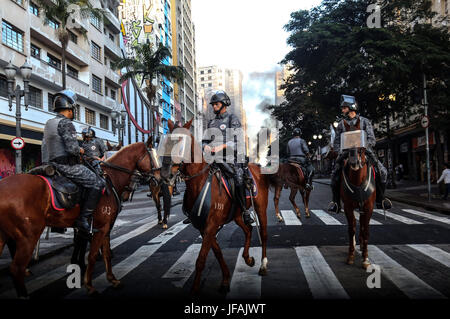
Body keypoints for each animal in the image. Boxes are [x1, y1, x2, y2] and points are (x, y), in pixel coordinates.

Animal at [0, 139, 158, 298]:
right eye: (152, 157)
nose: (159, 178)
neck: (110, 178)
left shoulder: (104, 227)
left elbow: (105, 253)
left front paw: (112, 279)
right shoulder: (101, 227)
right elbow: (92, 255)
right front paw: (89, 285)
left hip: (5, 235)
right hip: (29, 236)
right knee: (16, 268)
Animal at [162, 119, 274, 296]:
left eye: (180, 142)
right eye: (165, 142)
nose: (166, 175)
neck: (199, 182)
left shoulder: (211, 226)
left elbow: (201, 259)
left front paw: (195, 289)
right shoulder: (204, 228)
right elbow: (218, 253)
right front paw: (226, 280)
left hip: (261, 209)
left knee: (263, 234)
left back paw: (263, 265)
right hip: (237, 214)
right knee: (248, 229)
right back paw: (248, 259)